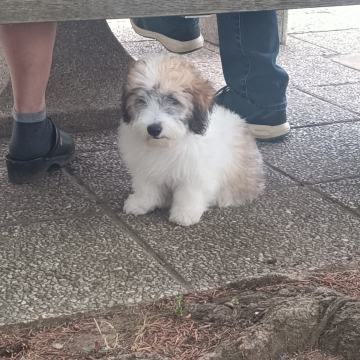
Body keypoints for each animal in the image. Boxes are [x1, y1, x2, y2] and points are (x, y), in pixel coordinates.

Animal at [118, 55, 264, 226]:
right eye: (141, 100)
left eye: (173, 100)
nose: (154, 129)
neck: (168, 143)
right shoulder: (146, 167)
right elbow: (146, 187)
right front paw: (140, 203)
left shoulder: (195, 172)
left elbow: (189, 193)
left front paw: (185, 213)